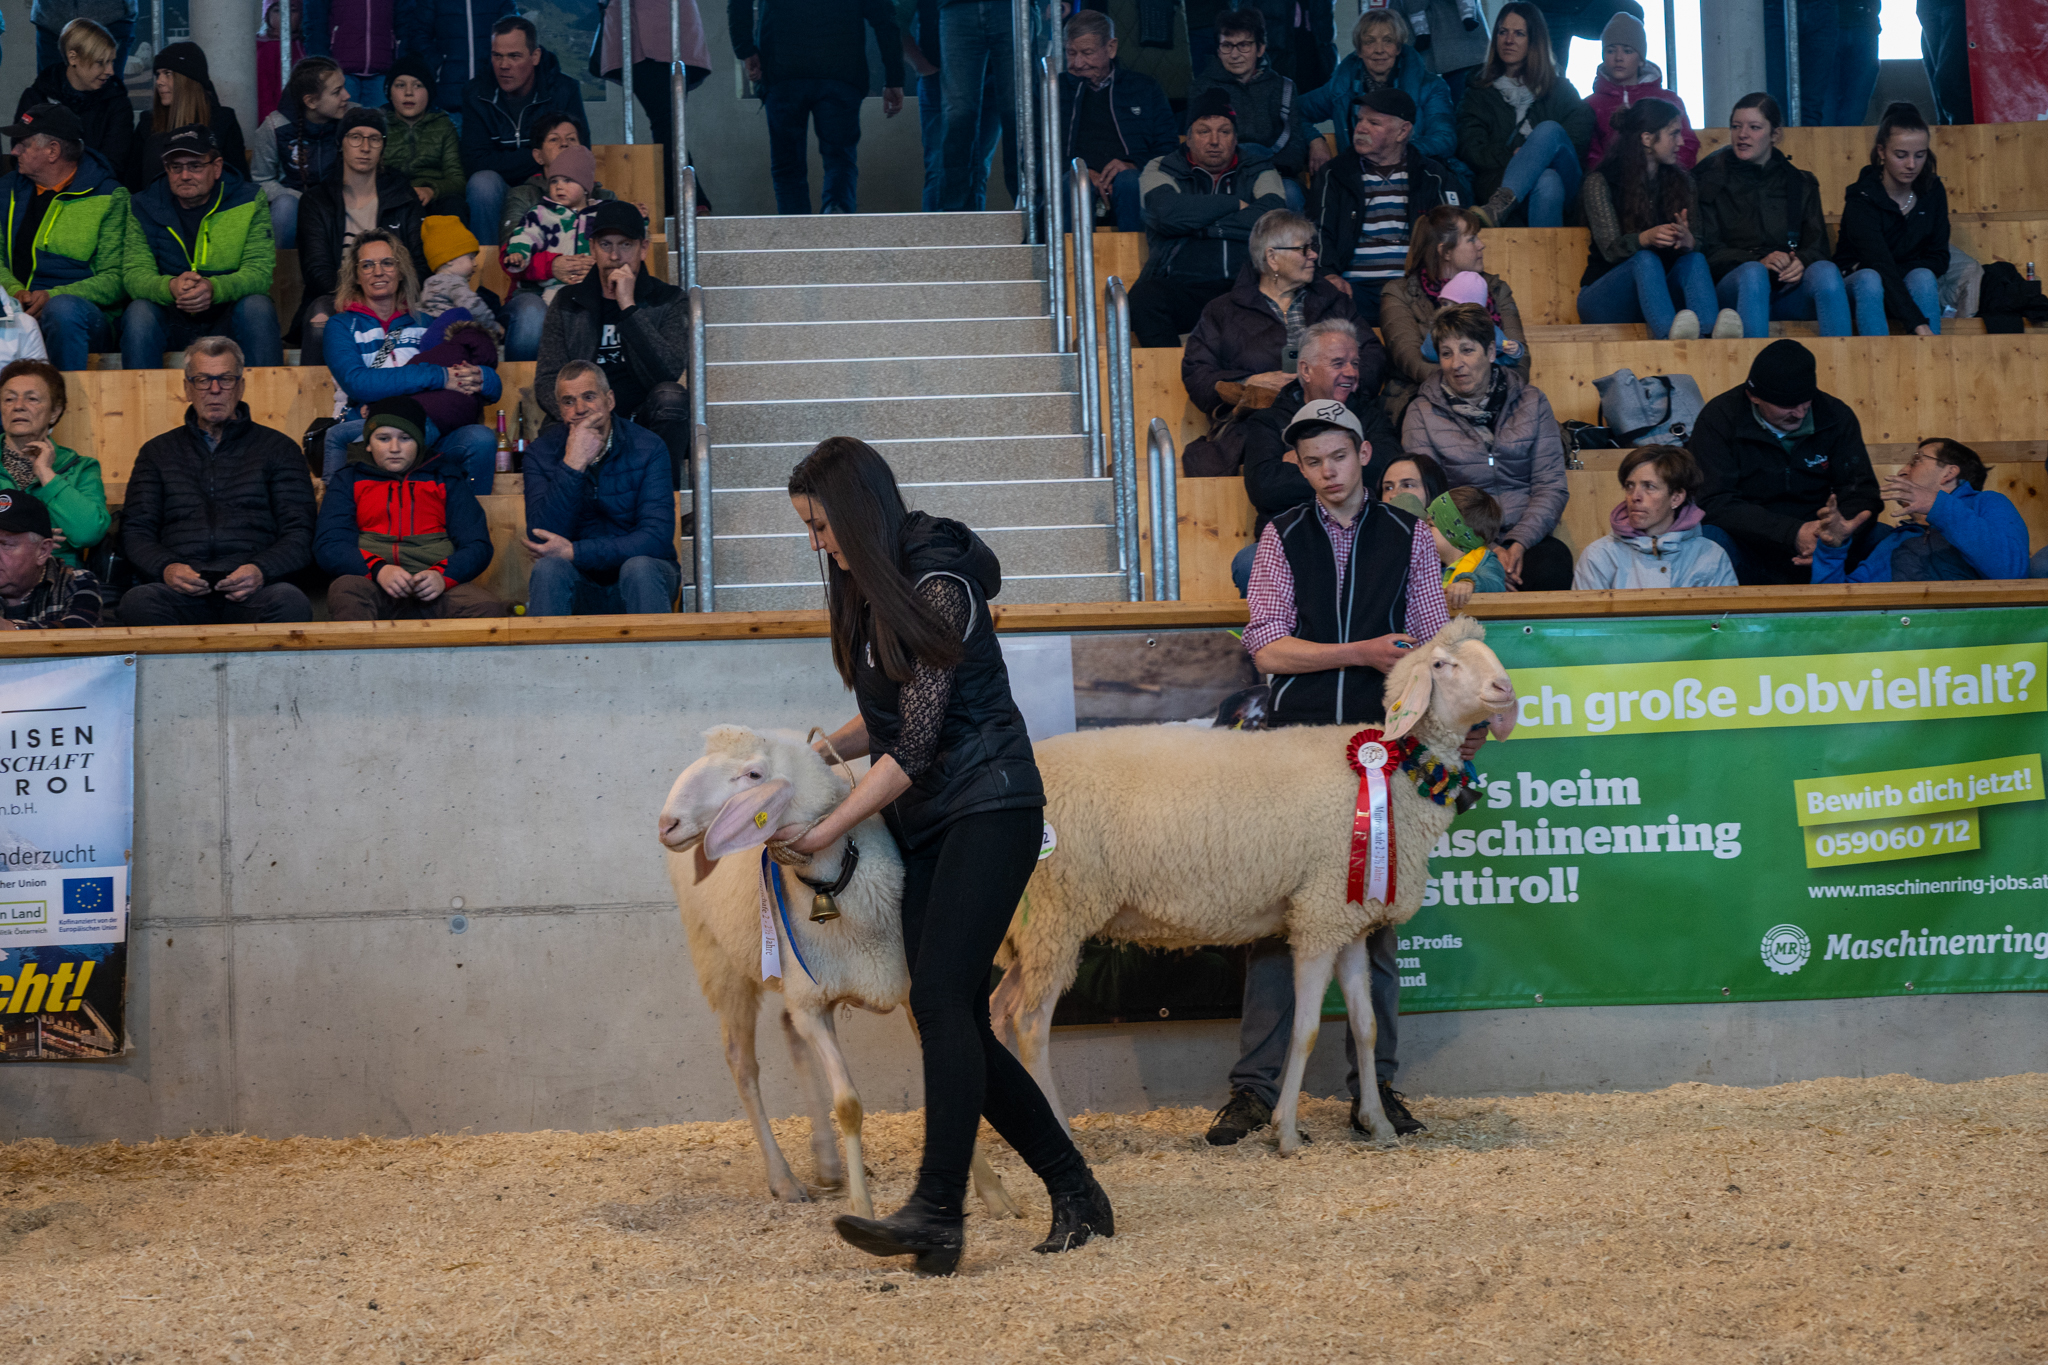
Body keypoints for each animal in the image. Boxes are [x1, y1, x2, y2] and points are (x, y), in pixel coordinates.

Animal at [657, 725, 1020, 1220]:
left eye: (753, 775)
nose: (667, 825)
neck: (837, 886)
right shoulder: (812, 1005)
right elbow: (847, 1103)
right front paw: (862, 1211)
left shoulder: (902, 989)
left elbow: (942, 1083)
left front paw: (992, 1191)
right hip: (721, 961)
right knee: (742, 1064)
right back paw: (785, 1179)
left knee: (786, 1028)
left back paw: (828, 1164)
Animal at [991, 617, 1516, 1154]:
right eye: (1441, 664)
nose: (1504, 688)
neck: (1393, 772)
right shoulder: (1318, 916)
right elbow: (1306, 1030)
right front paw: (1286, 1131)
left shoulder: (1348, 918)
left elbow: (1365, 1026)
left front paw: (1379, 1123)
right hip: (1057, 912)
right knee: (1029, 1024)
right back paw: (1059, 1130)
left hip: (1027, 926)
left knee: (997, 1011)